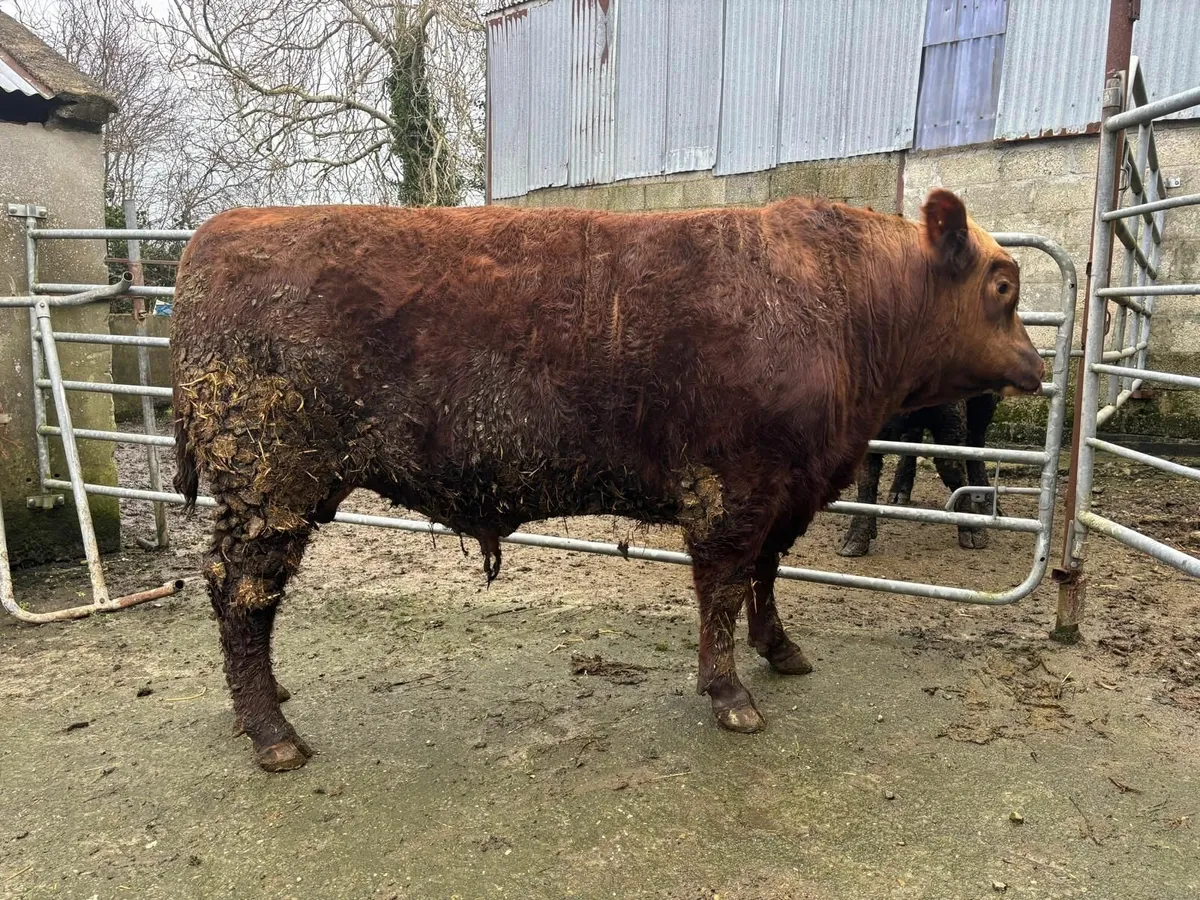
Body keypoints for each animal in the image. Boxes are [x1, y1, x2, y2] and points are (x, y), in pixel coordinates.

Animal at [838, 393, 1001, 557]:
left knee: (976, 439)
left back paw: (989, 503)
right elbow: (867, 479)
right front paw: (852, 544)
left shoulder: (952, 418)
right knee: (911, 438)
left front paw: (975, 536)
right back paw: (898, 495)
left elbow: (951, 465)